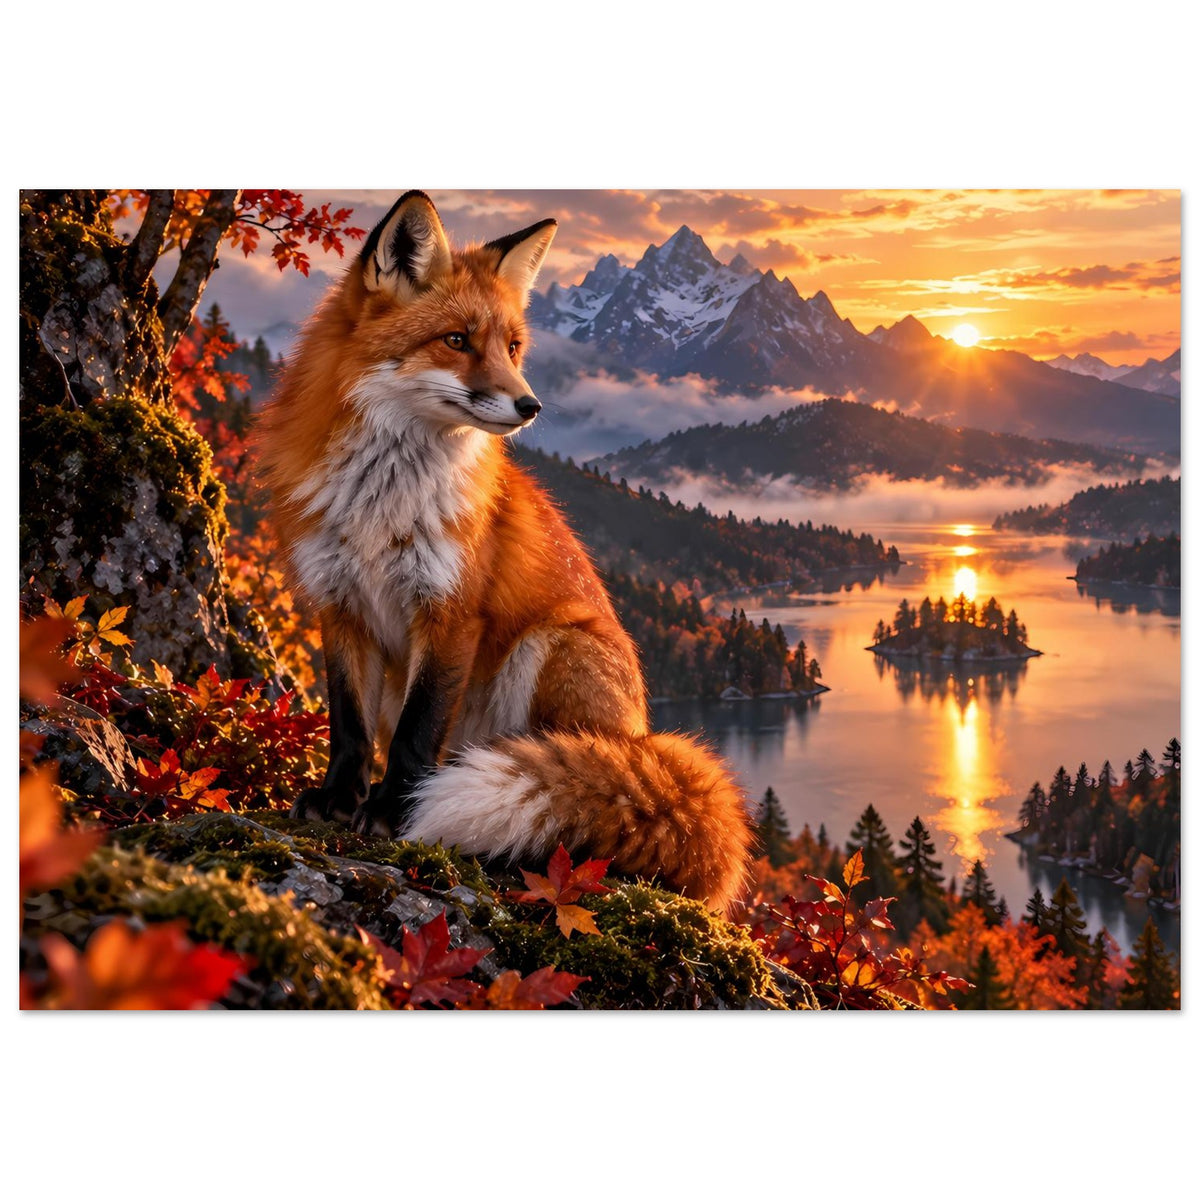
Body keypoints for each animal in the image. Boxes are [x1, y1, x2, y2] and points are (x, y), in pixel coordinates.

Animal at [256, 191, 753, 914]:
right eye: (457, 340)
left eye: (513, 346)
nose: (530, 405)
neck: (382, 503)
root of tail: (643, 736)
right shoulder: (339, 603)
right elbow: (349, 726)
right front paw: (339, 800)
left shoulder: (451, 611)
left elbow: (416, 733)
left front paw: (394, 813)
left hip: (549, 647)